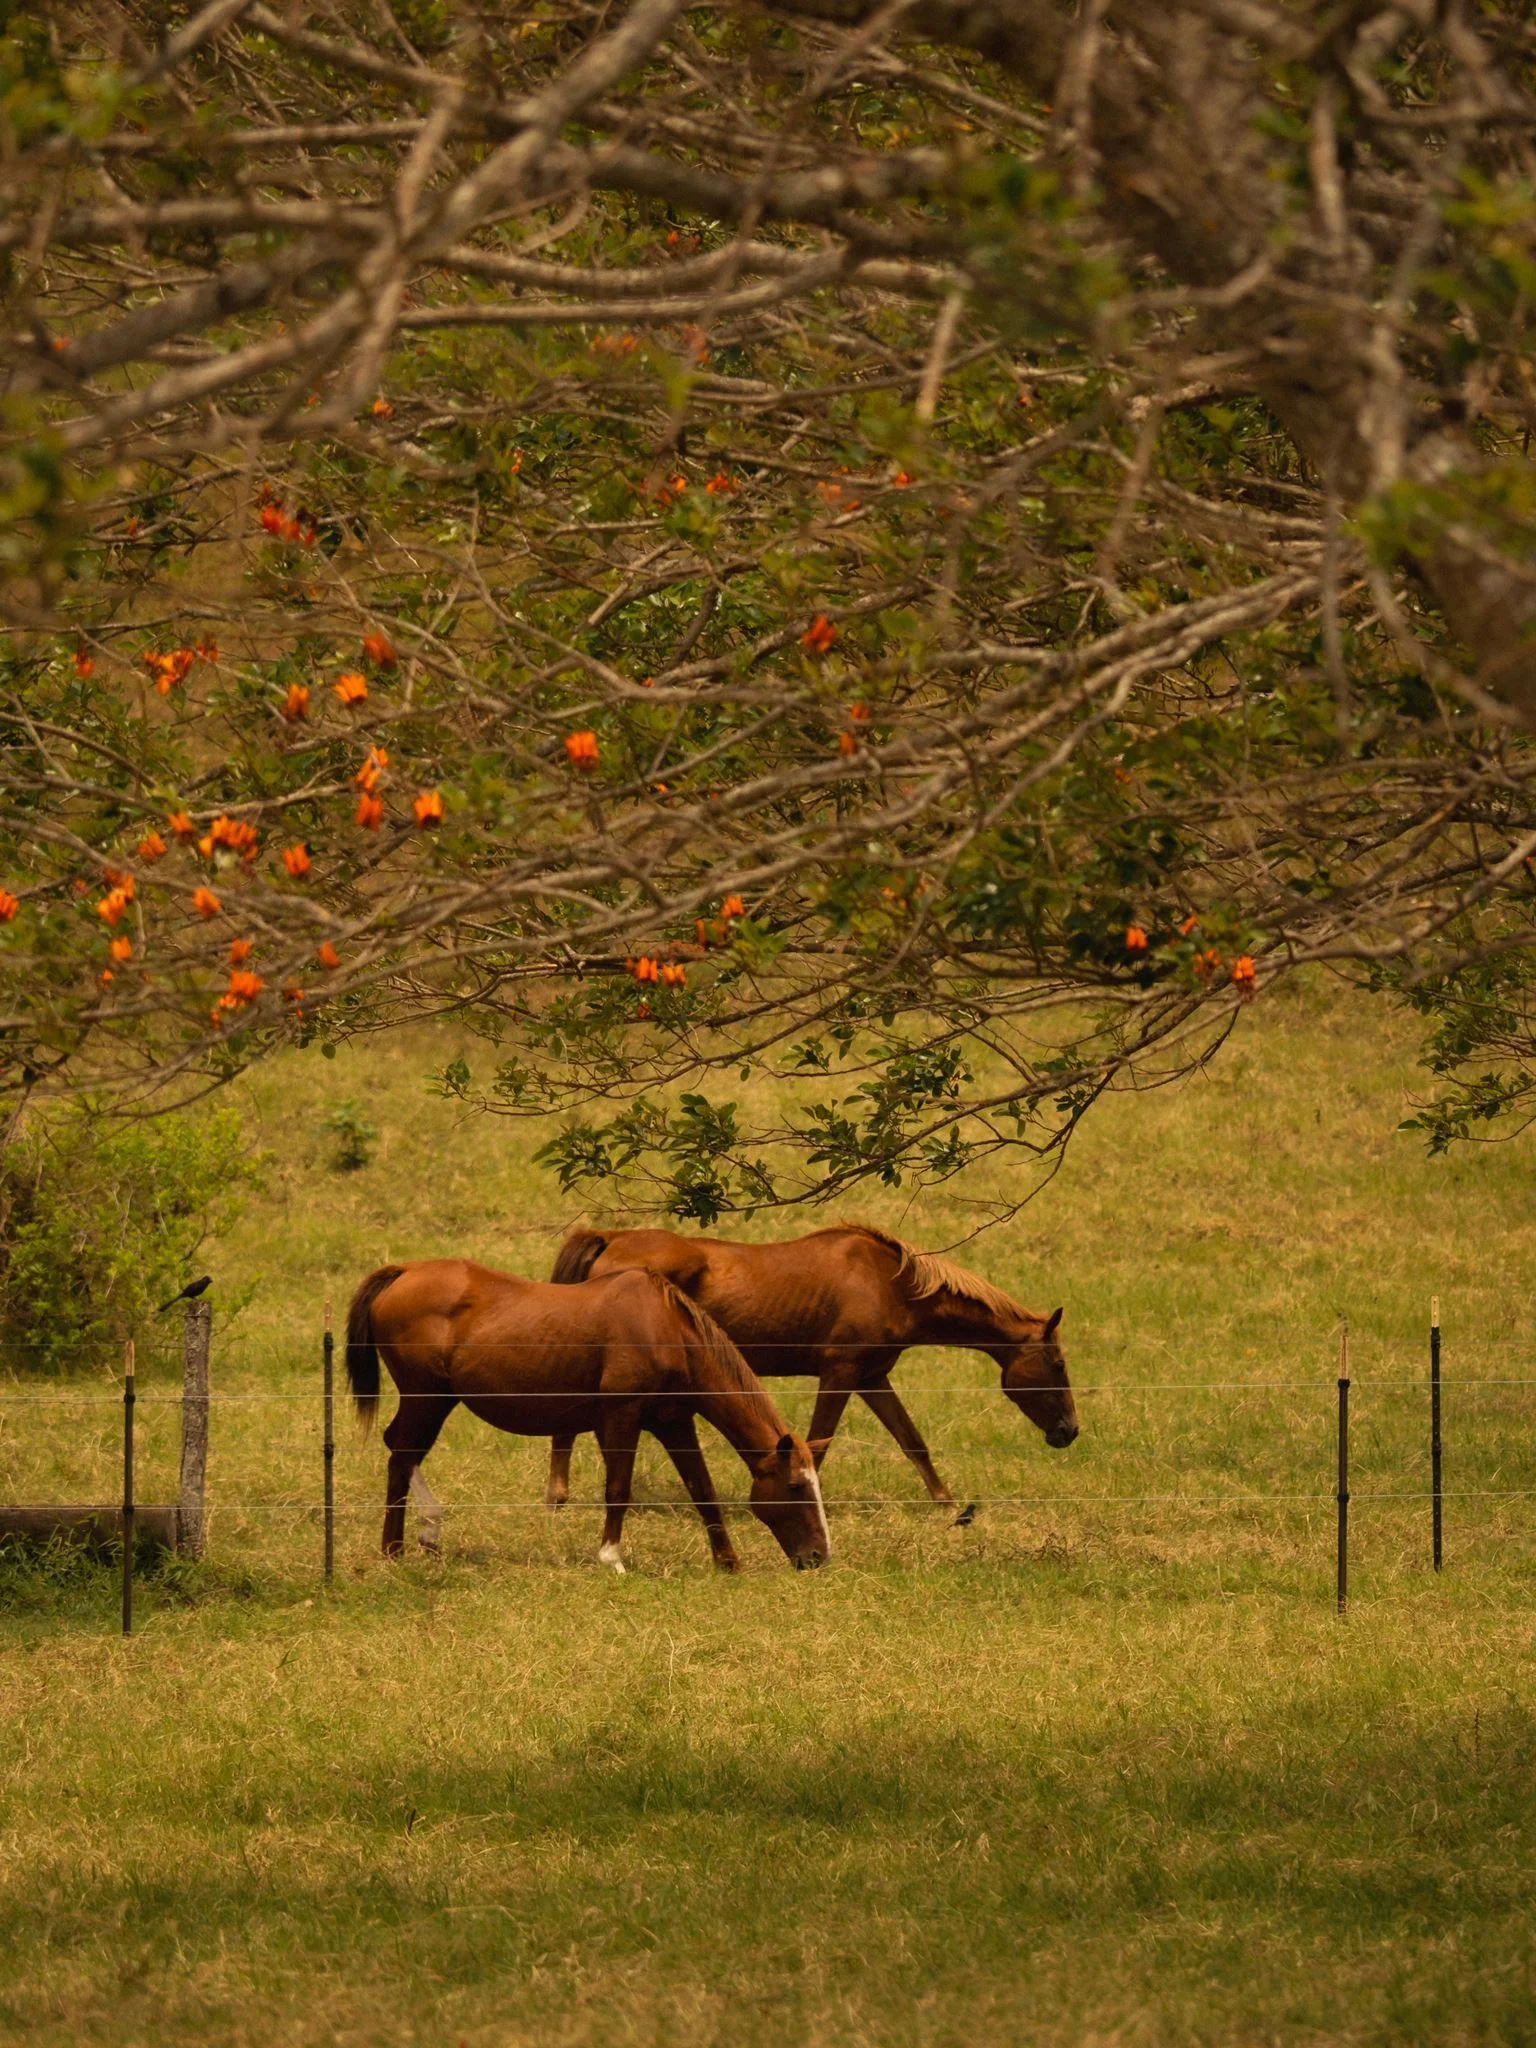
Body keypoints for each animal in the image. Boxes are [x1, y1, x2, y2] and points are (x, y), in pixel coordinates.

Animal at [345, 1259, 830, 1573]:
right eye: (795, 1486)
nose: (818, 1557)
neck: (665, 1329)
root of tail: (402, 1272)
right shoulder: (620, 1417)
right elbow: (618, 1489)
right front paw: (611, 1558)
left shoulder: (674, 1421)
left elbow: (702, 1489)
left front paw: (727, 1560)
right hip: (426, 1398)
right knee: (401, 1453)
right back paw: (406, 1542)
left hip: (436, 1400)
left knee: (402, 1453)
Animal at [544, 1222, 1077, 1512]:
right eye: (1056, 1363)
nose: (1069, 1432)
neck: (892, 1283)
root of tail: (609, 1237)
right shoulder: (840, 1371)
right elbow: (819, 1442)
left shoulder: (872, 1377)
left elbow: (912, 1441)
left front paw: (946, 1504)